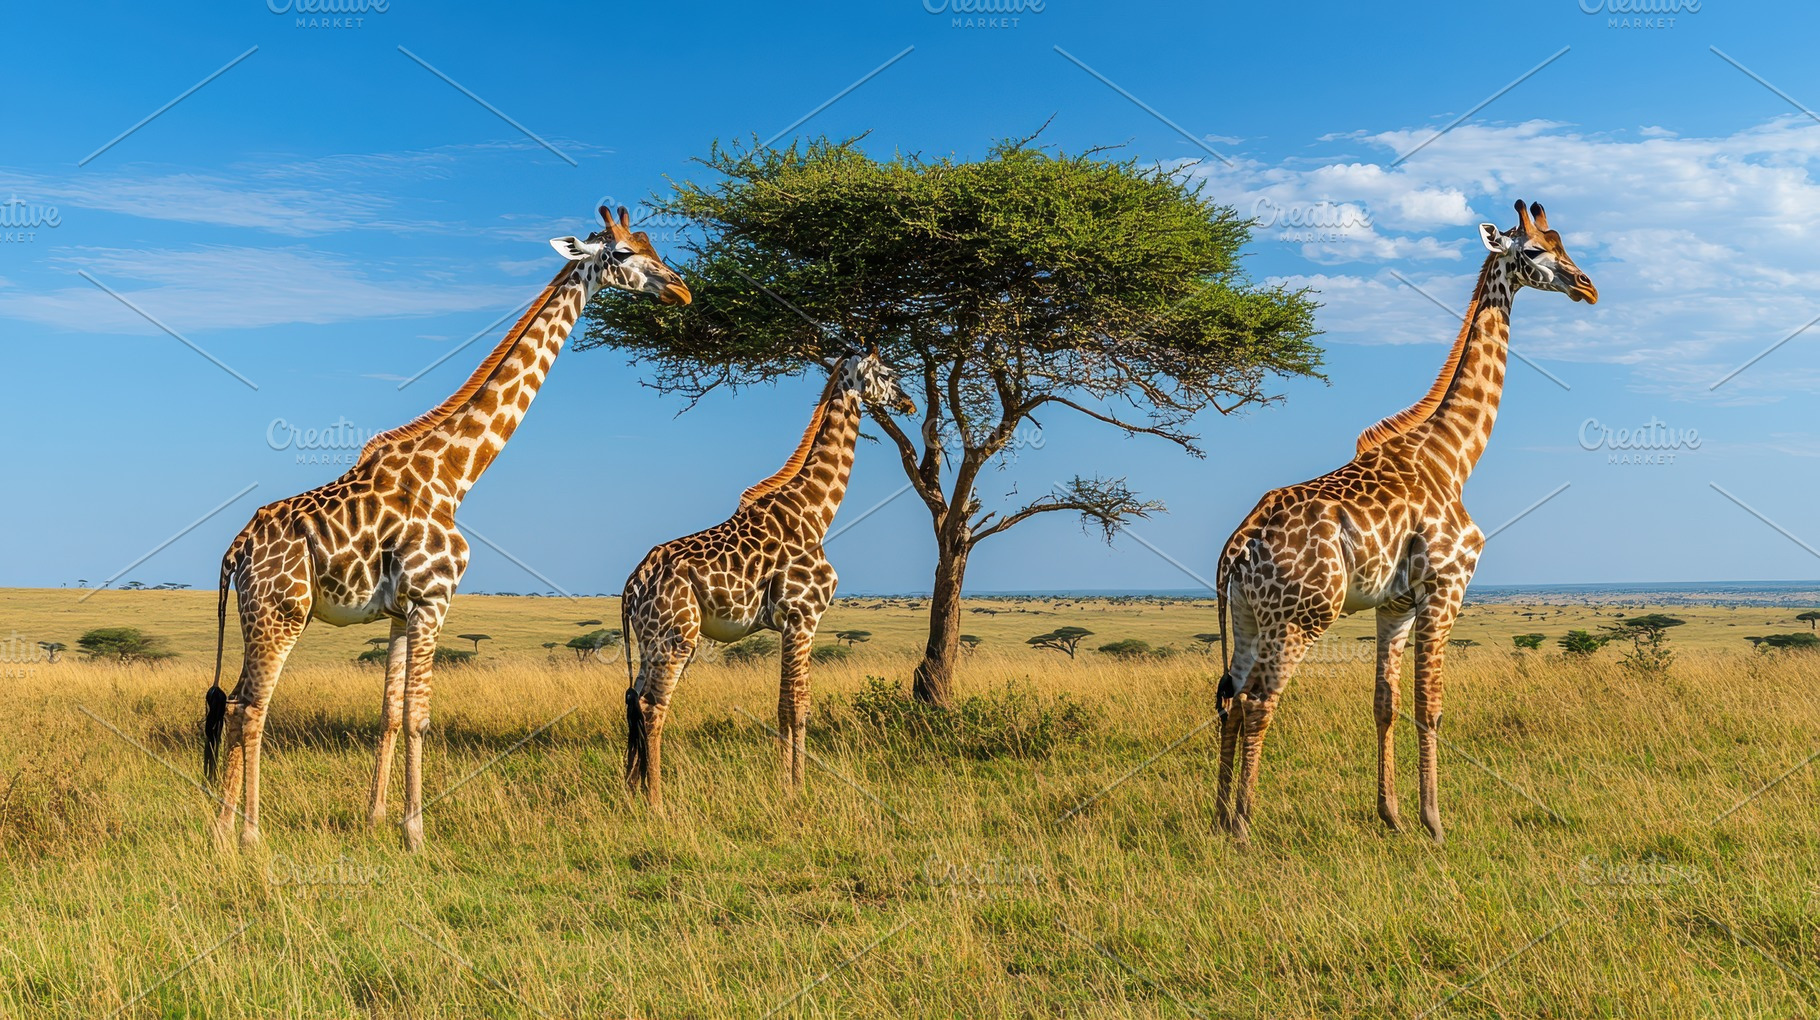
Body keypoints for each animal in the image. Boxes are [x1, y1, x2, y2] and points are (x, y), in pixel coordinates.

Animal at [203, 206, 690, 852]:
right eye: (627, 254)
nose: (681, 289)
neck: (455, 474)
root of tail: (235, 551)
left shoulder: (399, 611)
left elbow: (390, 712)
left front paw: (376, 818)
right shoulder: (433, 601)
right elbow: (419, 716)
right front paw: (416, 832)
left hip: (259, 614)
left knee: (234, 703)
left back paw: (223, 830)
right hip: (281, 613)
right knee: (252, 708)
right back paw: (251, 835)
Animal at [619, 346, 915, 813]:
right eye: (886, 373)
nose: (909, 402)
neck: (816, 512)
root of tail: (630, 586)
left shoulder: (789, 625)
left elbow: (784, 704)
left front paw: (785, 785)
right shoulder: (802, 617)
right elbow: (798, 706)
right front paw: (798, 789)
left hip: (651, 640)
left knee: (634, 700)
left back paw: (632, 792)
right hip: (676, 636)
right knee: (651, 707)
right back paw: (657, 802)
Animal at [1212, 201, 1596, 845]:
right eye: (1537, 250)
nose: (1588, 287)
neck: (1453, 455)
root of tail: (1237, 548)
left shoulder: (1395, 605)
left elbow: (1385, 704)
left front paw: (1390, 816)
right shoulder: (1445, 588)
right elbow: (1430, 706)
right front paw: (1435, 823)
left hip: (1246, 616)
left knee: (1229, 699)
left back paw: (1217, 818)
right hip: (1300, 617)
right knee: (1260, 702)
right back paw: (1242, 825)